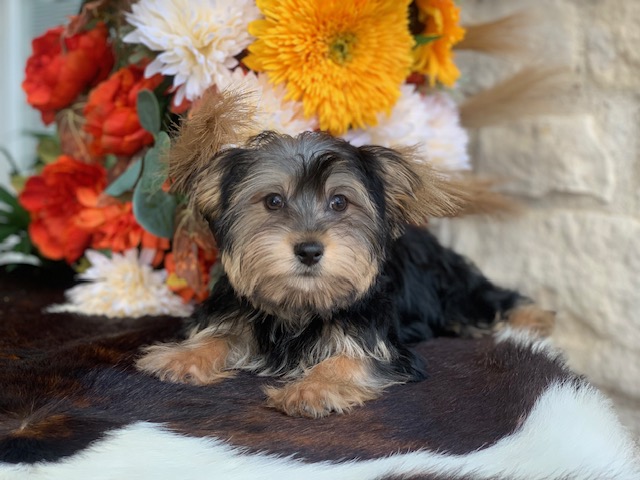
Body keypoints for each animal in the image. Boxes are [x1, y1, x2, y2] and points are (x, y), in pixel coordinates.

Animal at [136, 89, 556, 416]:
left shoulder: (380, 344)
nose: (308, 249)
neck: (300, 306)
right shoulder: (240, 311)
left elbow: (350, 360)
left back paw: (537, 319)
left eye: (339, 202)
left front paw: (311, 389)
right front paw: (181, 356)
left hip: (453, 289)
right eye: (273, 201)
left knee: (490, 299)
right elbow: (219, 335)